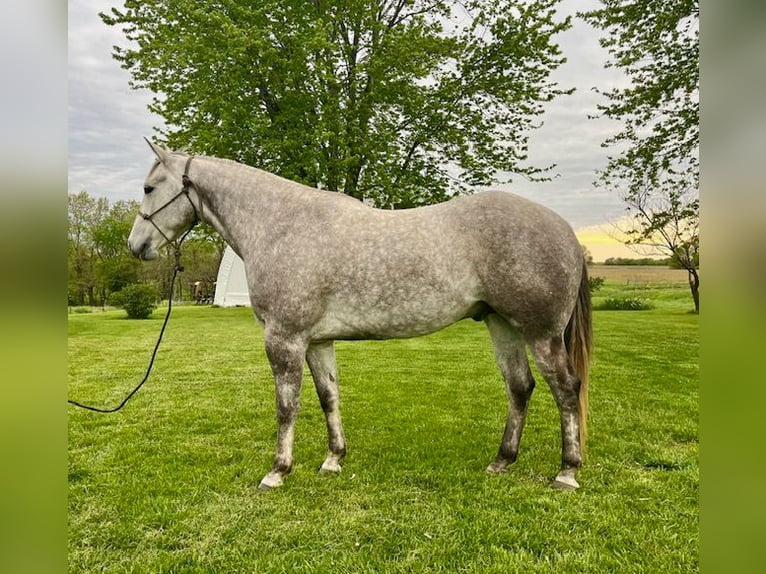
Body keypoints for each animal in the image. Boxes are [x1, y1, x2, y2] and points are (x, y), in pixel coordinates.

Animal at [129, 142, 592, 492]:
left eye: (150, 187)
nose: (136, 245)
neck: (281, 225)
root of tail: (565, 230)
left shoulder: (284, 340)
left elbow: (286, 406)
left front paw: (277, 471)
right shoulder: (316, 341)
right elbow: (328, 397)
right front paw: (333, 460)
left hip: (541, 333)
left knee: (566, 390)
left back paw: (567, 472)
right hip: (503, 326)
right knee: (520, 387)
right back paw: (501, 462)